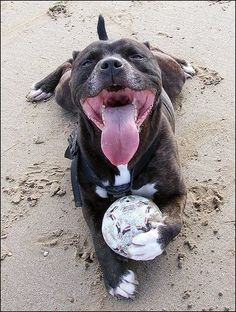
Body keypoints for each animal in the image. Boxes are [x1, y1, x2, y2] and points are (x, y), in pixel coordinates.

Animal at [26, 15, 195, 298]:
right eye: (89, 61)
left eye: (135, 56)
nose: (110, 64)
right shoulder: (90, 205)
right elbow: (98, 237)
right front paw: (116, 278)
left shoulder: (176, 193)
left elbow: (174, 223)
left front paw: (151, 241)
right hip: (64, 95)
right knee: (66, 65)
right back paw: (42, 86)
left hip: (174, 77)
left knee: (160, 50)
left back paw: (184, 62)